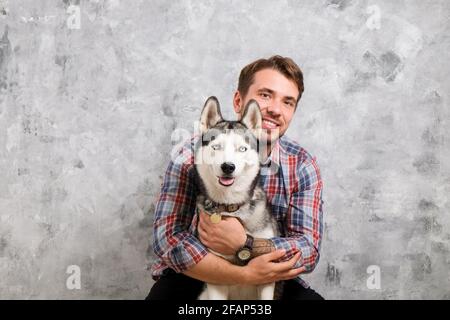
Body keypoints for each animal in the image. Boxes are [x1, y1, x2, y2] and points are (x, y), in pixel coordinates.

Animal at [193, 95, 278, 300]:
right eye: (216, 147)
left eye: (242, 149)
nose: (228, 167)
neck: (231, 206)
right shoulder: (215, 277)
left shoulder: (268, 272)